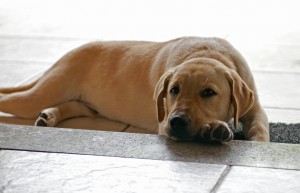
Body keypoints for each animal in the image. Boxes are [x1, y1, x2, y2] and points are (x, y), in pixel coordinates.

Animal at [0, 36, 270, 142]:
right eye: (173, 90)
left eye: (209, 93)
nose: (177, 122)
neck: (207, 52)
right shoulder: (163, 122)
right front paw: (212, 129)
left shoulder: (255, 106)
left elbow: (259, 125)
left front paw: (258, 141)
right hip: (43, 91)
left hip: (86, 103)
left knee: (76, 106)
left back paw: (49, 116)